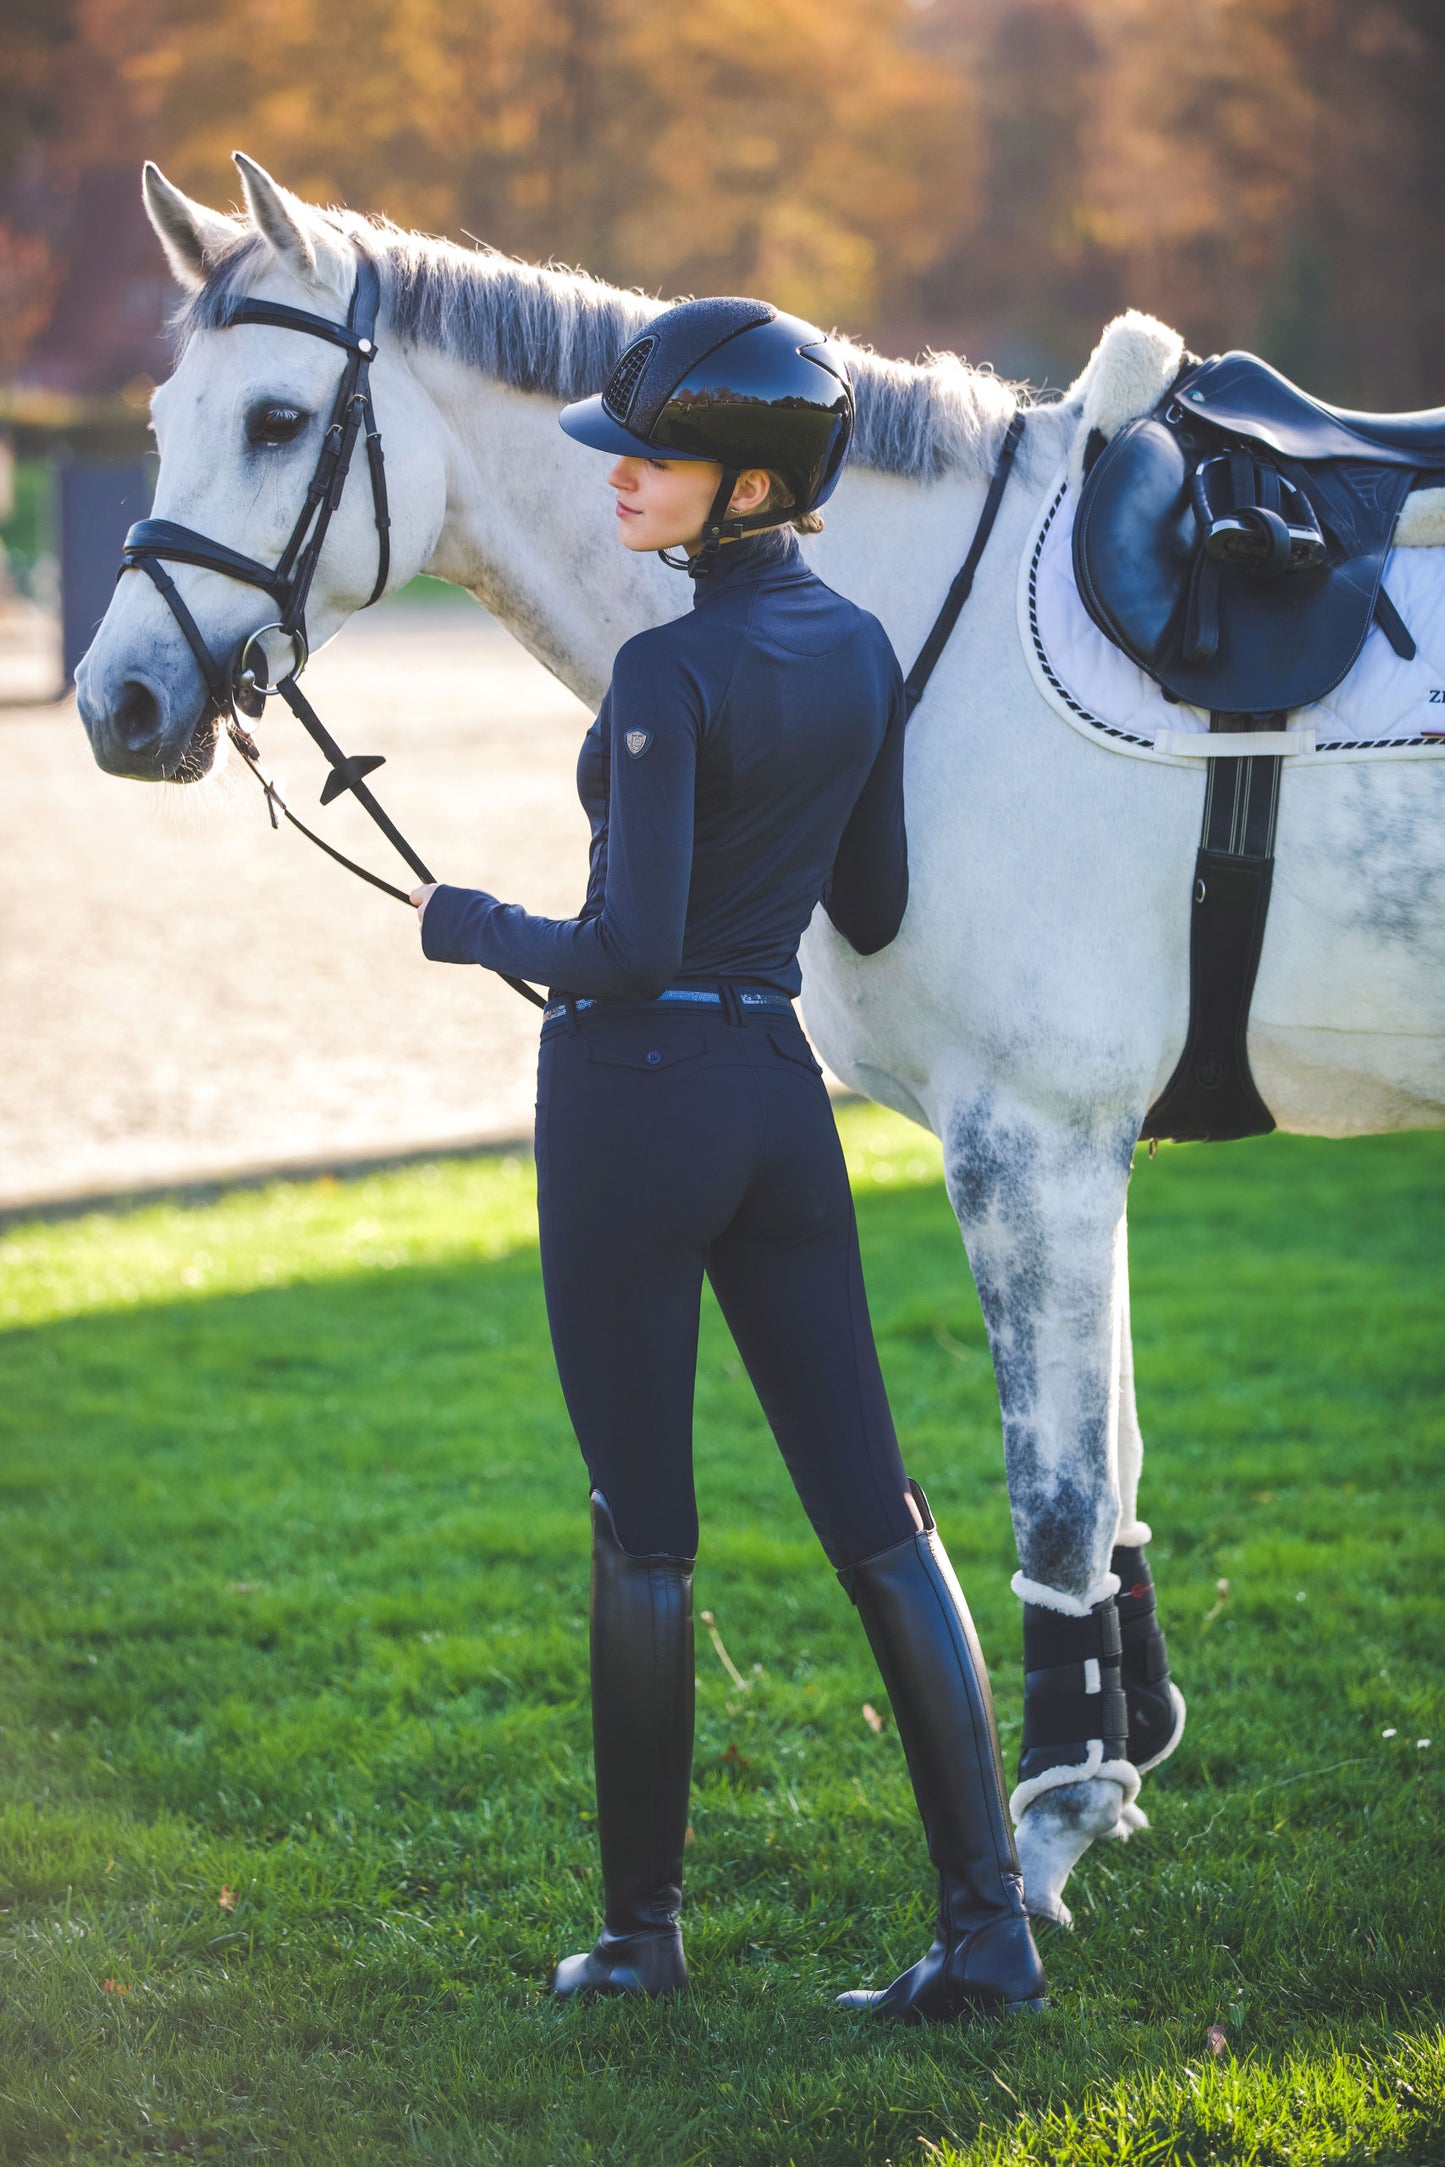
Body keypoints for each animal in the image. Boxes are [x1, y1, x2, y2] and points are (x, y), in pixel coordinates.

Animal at [79, 160, 1445, 1932]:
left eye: (275, 418)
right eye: (163, 417)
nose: (115, 701)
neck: (921, 632)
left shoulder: (1034, 1142)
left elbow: (1059, 1495)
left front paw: (1051, 1824)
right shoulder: (1087, 1149)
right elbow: (1116, 1461)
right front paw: (1118, 1764)